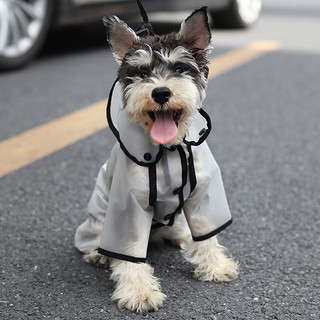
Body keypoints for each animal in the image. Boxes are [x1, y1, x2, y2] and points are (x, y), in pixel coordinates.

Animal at [75, 6, 239, 312]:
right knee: (98, 236)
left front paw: (215, 266)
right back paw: (97, 253)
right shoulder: (128, 206)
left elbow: (207, 234)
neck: (169, 150)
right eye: (141, 73)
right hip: (98, 215)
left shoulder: (204, 194)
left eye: (180, 68)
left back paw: (180, 236)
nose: (161, 92)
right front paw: (138, 292)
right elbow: (129, 254)